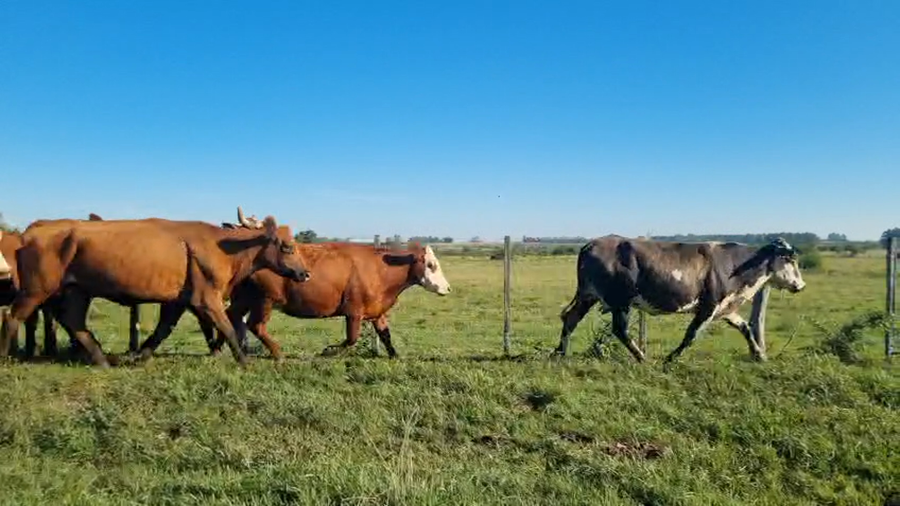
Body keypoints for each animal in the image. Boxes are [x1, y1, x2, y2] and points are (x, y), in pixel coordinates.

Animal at [0, 213, 311, 368]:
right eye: (287, 246)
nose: (304, 273)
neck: (224, 247)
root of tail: (30, 232)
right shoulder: (206, 298)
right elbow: (228, 328)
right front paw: (244, 361)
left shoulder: (177, 301)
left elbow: (163, 330)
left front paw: (141, 355)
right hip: (36, 289)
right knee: (12, 317)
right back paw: (5, 357)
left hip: (77, 290)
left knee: (73, 322)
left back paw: (102, 360)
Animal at [201, 241, 451, 361]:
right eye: (431, 265)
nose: (447, 288)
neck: (380, 269)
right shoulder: (354, 312)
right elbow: (351, 339)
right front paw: (328, 351)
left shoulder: (377, 312)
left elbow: (385, 336)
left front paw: (395, 356)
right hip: (265, 300)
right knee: (256, 325)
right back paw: (278, 353)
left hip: (245, 298)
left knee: (229, 316)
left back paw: (217, 349)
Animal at [554, 236, 806, 363]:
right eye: (790, 260)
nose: (801, 285)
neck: (735, 265)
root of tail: (591, 244)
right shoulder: (708, 306)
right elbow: (691, 335)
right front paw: (671, 358)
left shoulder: (725, 307)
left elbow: (744, 327)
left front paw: (759, 354)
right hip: (620, 301)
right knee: (620, 329)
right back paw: (642, 357)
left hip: (589, 295)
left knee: (571, 319)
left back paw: (559, 353)